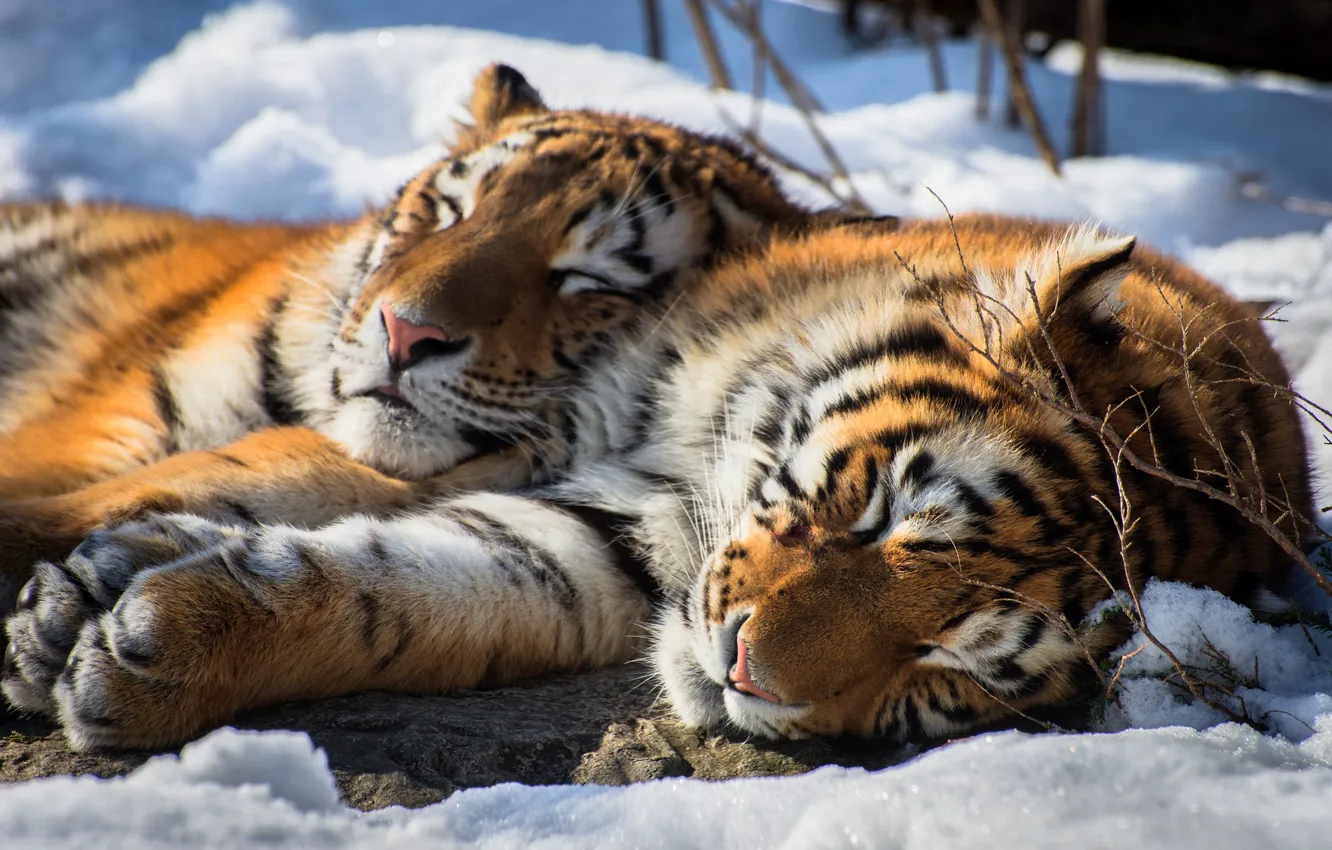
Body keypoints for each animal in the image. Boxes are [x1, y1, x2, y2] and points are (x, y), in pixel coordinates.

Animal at [3, 207, 1309, 750]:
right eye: (881, 510)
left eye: (948, 673)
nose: (742, 669)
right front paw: (82, 587)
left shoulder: (596, 546)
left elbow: (393, 591)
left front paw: (146, 650)